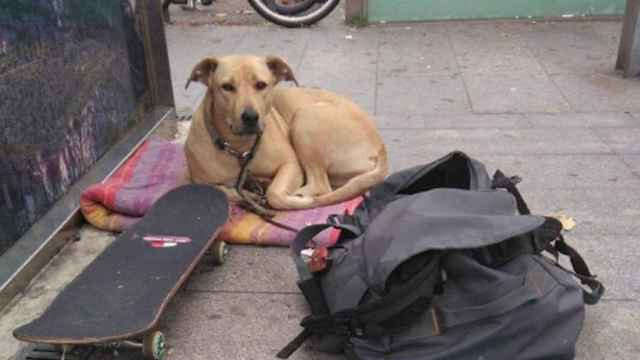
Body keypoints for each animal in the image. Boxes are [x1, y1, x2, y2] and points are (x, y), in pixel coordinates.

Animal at [182, 54, 388, 211]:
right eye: (227, 87)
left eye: (261, 85)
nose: (250, 117)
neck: (239, 147)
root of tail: (380, 148)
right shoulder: (198, 181)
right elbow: (221, 190)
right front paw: (248, 194)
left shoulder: (291, 165)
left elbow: (274, 193)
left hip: (305, 118)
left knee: (322, 186)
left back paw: (299, 196)